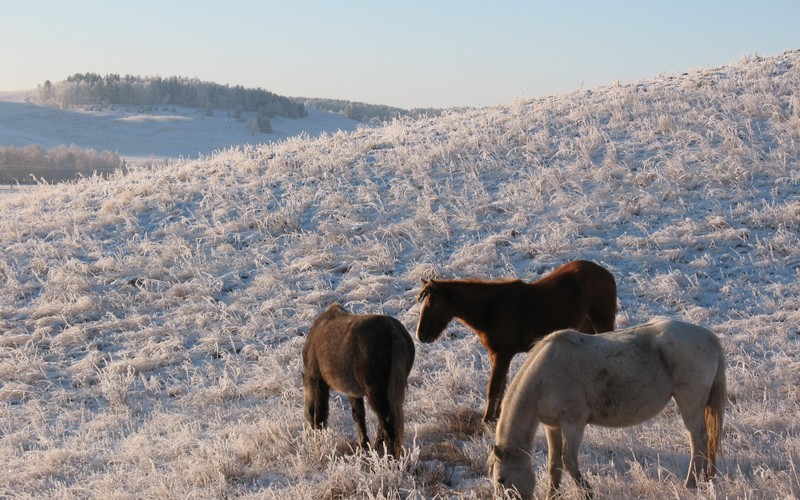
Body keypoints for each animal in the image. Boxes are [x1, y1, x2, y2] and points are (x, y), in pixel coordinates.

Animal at [300, 302, 412, 458]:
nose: (309, 436)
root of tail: (394, 333)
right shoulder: (353, 392)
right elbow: (358, 416)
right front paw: (363, 444)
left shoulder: (318, 382)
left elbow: (321, 415)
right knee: (384, 421)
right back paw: (378, 448)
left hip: (376, 393)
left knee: (387, 421)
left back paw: (389, 456)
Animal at [416, 262, 616, 422]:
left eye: (432, 305)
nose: (421, 335)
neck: (492, 309)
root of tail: (606, 274)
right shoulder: (498, 356)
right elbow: (502, 387)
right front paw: (495, 417)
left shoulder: (502, 355)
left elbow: (494, 388)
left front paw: (486, 421)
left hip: (602, 321)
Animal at [488, 318, 724, 498]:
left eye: (501, 479)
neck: (544, 377)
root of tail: (706, 336)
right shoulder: (552, 426)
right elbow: (554, 466)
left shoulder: (573, 423)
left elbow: (568, 461)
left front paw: (588, 493)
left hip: (690, 404)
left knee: (698, 442)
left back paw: (690, 485)